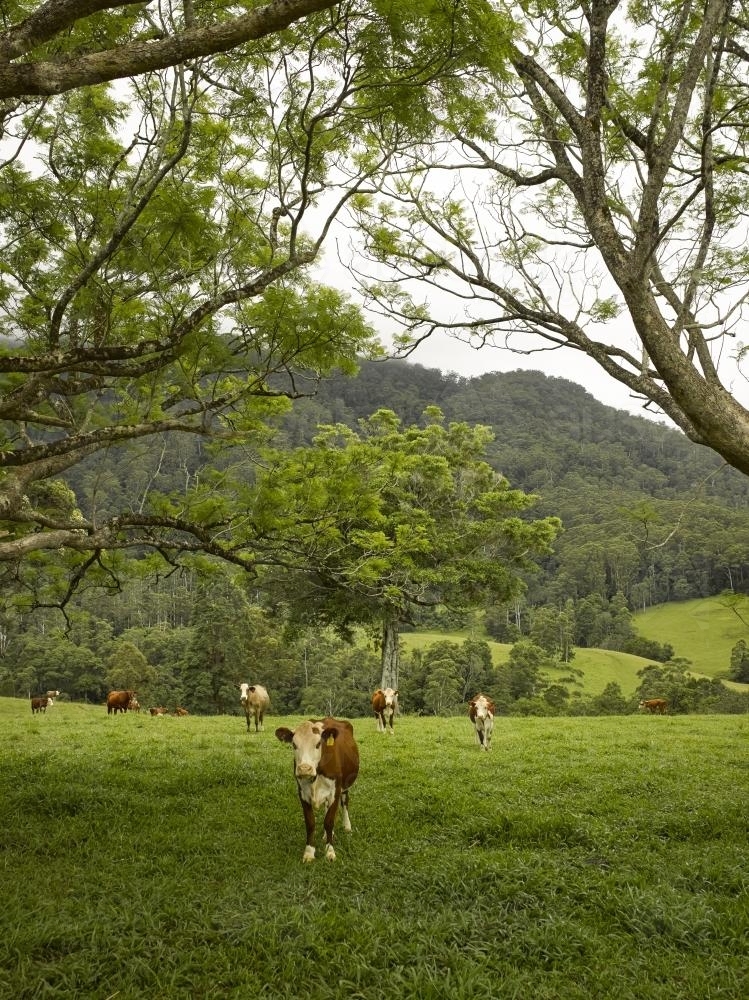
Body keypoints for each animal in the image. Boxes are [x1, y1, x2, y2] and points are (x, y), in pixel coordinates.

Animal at [274, 716, 360, 864]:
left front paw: (330, 852)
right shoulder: (302, 793)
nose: (304, 768)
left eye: (318, 744)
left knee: (345, 802)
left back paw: (347, 826)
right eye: (294, 745)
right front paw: (309, 852)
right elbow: (310, 823)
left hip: (345, 784)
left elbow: (329, 821)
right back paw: (327, 835)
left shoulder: (335, 791)